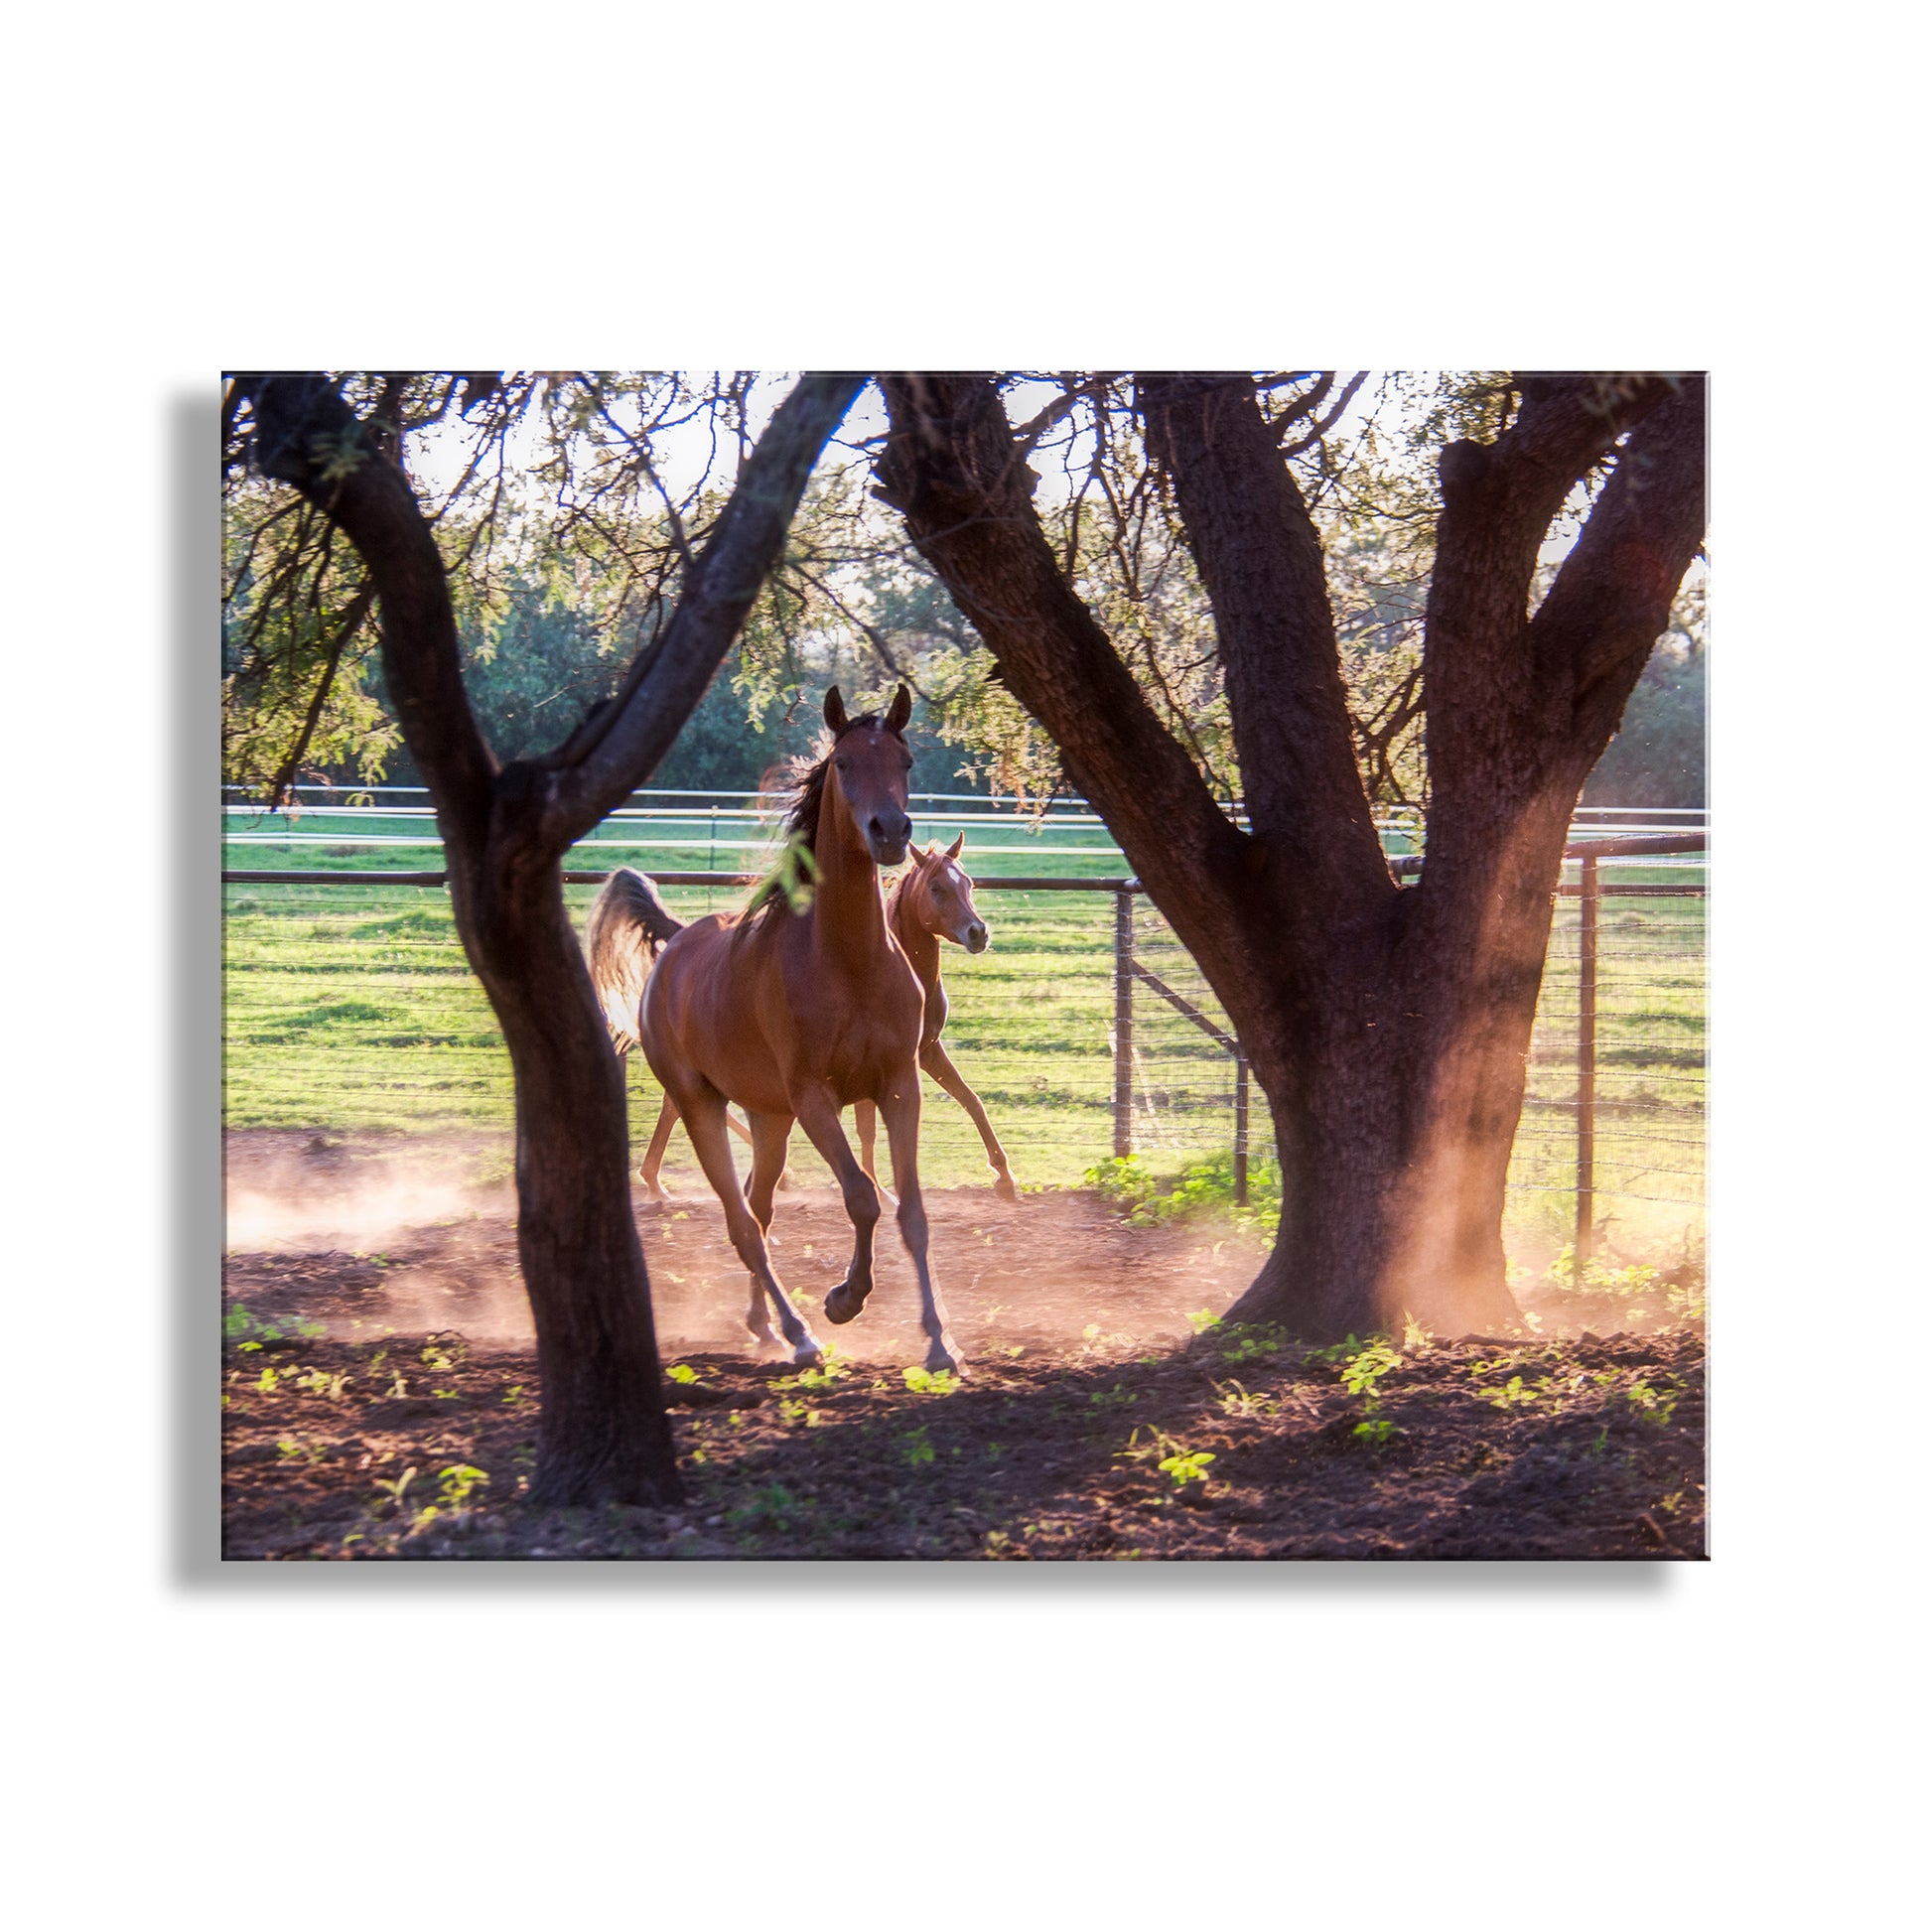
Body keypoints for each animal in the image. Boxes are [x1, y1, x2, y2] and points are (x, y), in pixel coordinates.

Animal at [589, 684, 961, 1373]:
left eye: (905, 761)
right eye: (843, 762)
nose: (891, 831)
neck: (848, 961)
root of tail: (675, 944)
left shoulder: (900, 1085)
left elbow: (912, 1210)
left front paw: (939, 1341)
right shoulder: (815, 1097)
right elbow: (863, 1196)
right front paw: (845, 1299)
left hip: (768, 1118)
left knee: (759, 1210)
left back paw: (762, 1323)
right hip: (704, 1106)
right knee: (742, 1224)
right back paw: (798, 1334)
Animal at [853, 834, 1017, 1203]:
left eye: (968, 883)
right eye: (936, 887)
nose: (978, 932)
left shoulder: (928, 1051)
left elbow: (972, 1101)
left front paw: (1005, 1177)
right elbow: (870, 1129)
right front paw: (883, 1194)